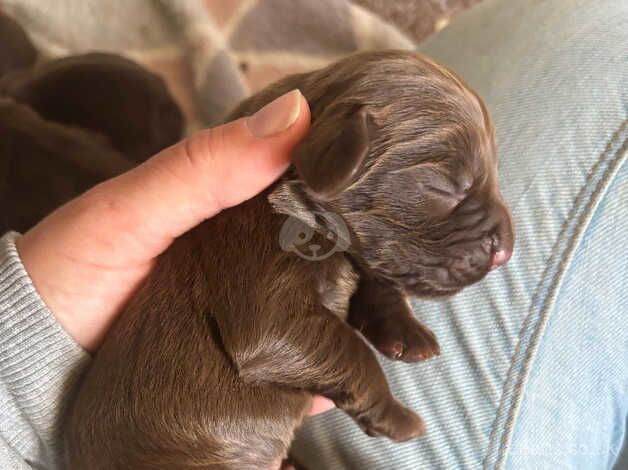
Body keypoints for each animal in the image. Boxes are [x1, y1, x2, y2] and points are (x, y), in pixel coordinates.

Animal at [65, 49, 516, 468]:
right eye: (445, 187)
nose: (508, 251)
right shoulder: (267, 300)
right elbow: (353, 350)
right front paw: (399, 417)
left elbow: (376, 279)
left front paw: (407, 334)